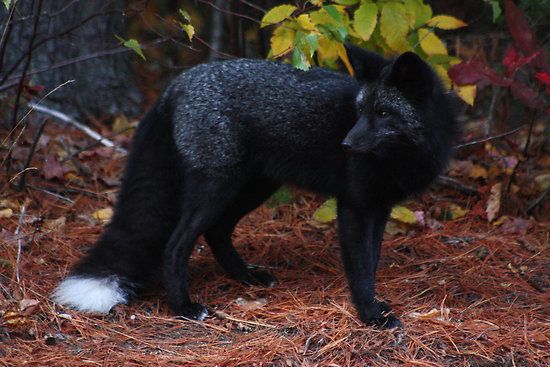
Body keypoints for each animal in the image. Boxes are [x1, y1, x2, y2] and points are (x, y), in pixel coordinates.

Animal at [52, 45, 458, 328]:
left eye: (384, 113)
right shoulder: (354, 208)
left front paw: (375, 306)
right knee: (176, 244)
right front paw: (371, 315)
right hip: (217, 186)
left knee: (216, 232)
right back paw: (183, 308)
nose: (345, 144)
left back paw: (246, 277)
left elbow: (371, 262)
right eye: (360, 112)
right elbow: (360, 269)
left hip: (253, 187)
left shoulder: (380, 207)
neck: (405, 155)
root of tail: (177, 83)